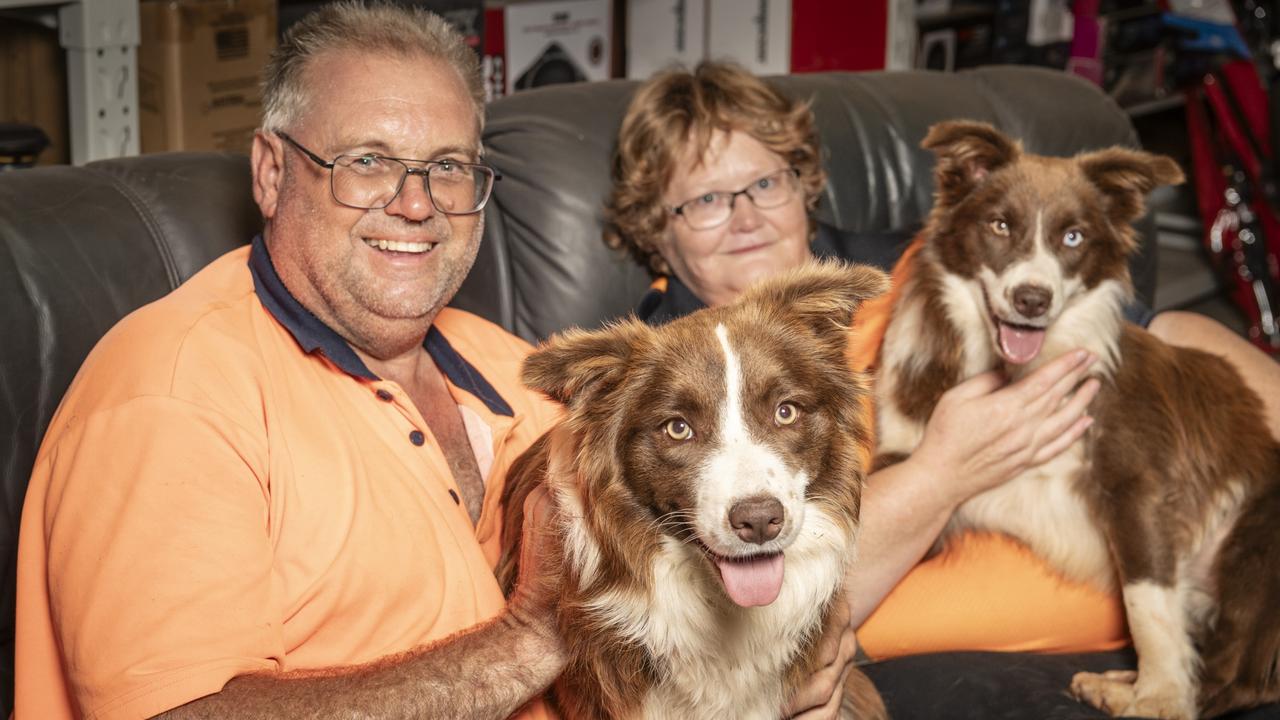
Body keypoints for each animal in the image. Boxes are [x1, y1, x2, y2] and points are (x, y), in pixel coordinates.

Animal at [875, 117, 1280, 717]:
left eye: (1074, 238)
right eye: (1000, 225)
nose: (1032, 299)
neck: (1013, 372)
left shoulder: (1138, 485)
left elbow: (1146, 605)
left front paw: (1159, 699)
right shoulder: (914, 472)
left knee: (1242, 679)